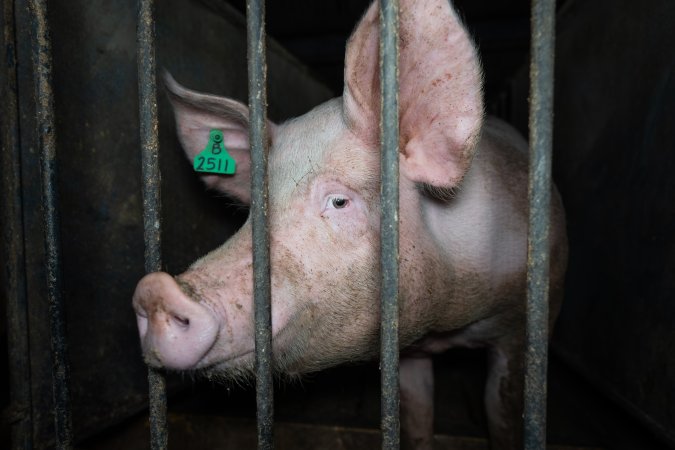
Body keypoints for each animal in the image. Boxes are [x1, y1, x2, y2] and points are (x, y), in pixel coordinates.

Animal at [132, 0, 568, 448]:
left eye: (339, 201)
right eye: (255, 210)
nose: (156, 291)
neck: (444, 319)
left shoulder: (523, 321)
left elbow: (502, 413)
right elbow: (415, 418)